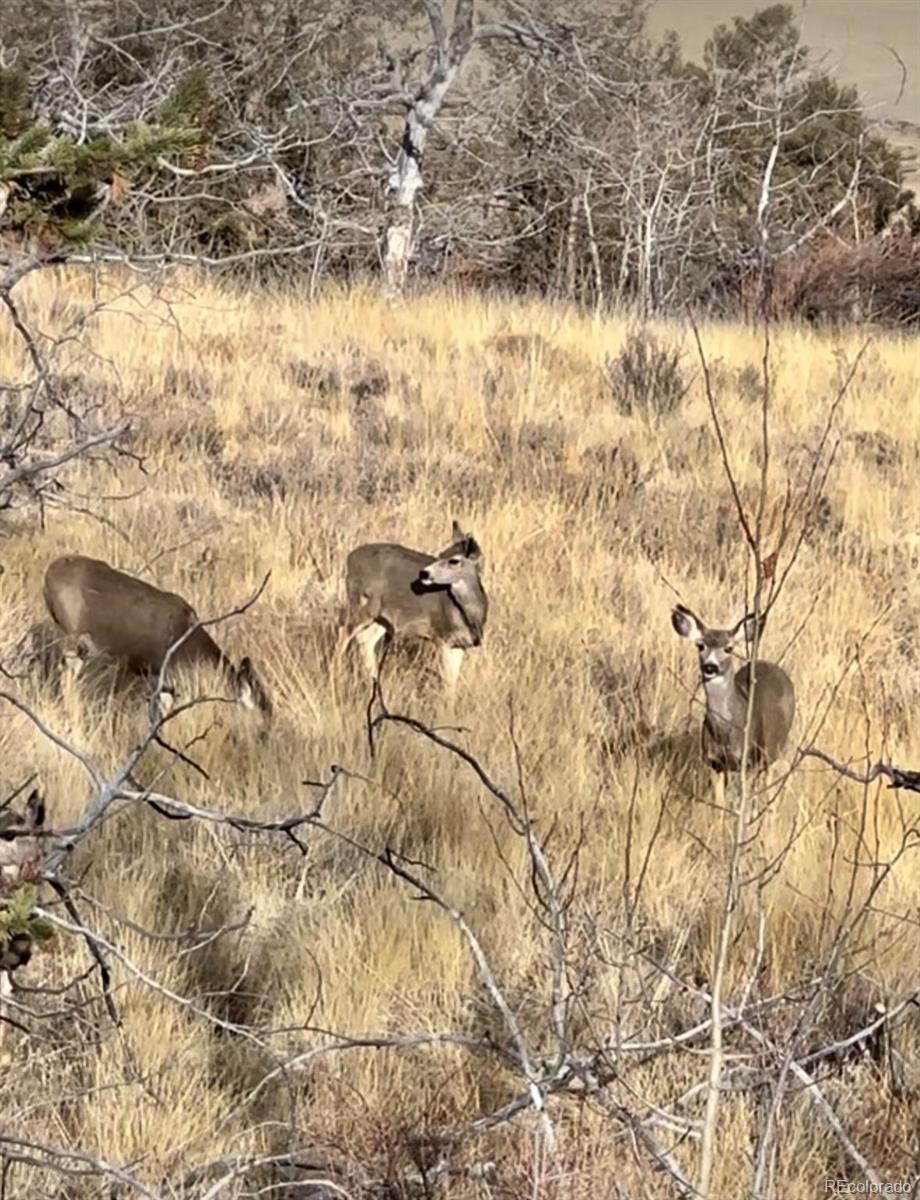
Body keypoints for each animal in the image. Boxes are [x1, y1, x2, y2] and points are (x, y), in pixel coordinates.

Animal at [335, 518, 489, 696]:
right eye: (441, 554)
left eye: (454, 560)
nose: (424, 573)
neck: (468, 615)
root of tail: (350, 558)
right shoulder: (442, 638)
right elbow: (447, 681)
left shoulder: (460, 644)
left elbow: (452, 683)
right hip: (361, 604)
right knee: (343, 633)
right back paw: (337, 677)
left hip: (381, 616)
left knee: (365, 639)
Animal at [671, 604, 796, 801]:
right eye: (700, 645)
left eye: (728, 648)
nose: (710, 667)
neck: (725, 733)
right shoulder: (713, 762)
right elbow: (720, 802)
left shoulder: (749, 760)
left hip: (774, 748)